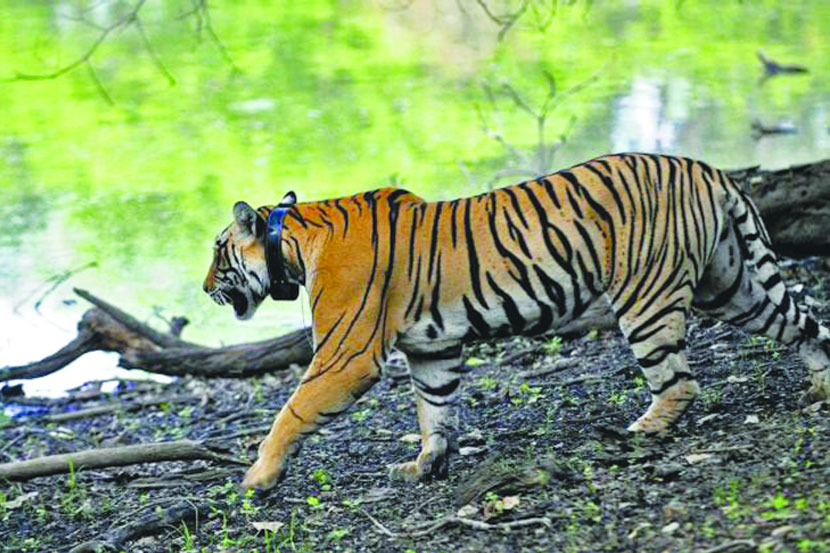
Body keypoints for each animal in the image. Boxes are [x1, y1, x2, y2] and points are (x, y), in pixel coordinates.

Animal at [203, 153, 830, 490]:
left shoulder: (346, 354)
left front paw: (258, 478)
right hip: (730, 285)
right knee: (803, 321)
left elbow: (291, 411)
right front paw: (424, 465)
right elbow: (436, 411)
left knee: (680, 381)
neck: (293, 239)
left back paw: (643, 431)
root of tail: (705, 167)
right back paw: (820, 388)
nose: (206, 289)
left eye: (216, 251)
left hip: (647, 297)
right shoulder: (433, 348)